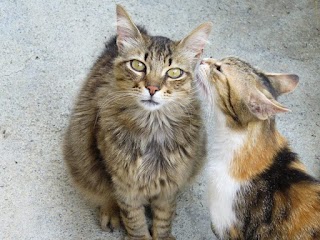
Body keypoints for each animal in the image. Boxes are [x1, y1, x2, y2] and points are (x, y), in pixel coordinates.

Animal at [63, 4, 211, 240]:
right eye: (137, 65)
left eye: (174, 72)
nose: (152, 88)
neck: (152, 130)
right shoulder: (124, 185)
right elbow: (135, 220)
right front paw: (137, 233)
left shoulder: (169, 185)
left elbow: (163, 219)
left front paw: (164, 234)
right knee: (104, 194)